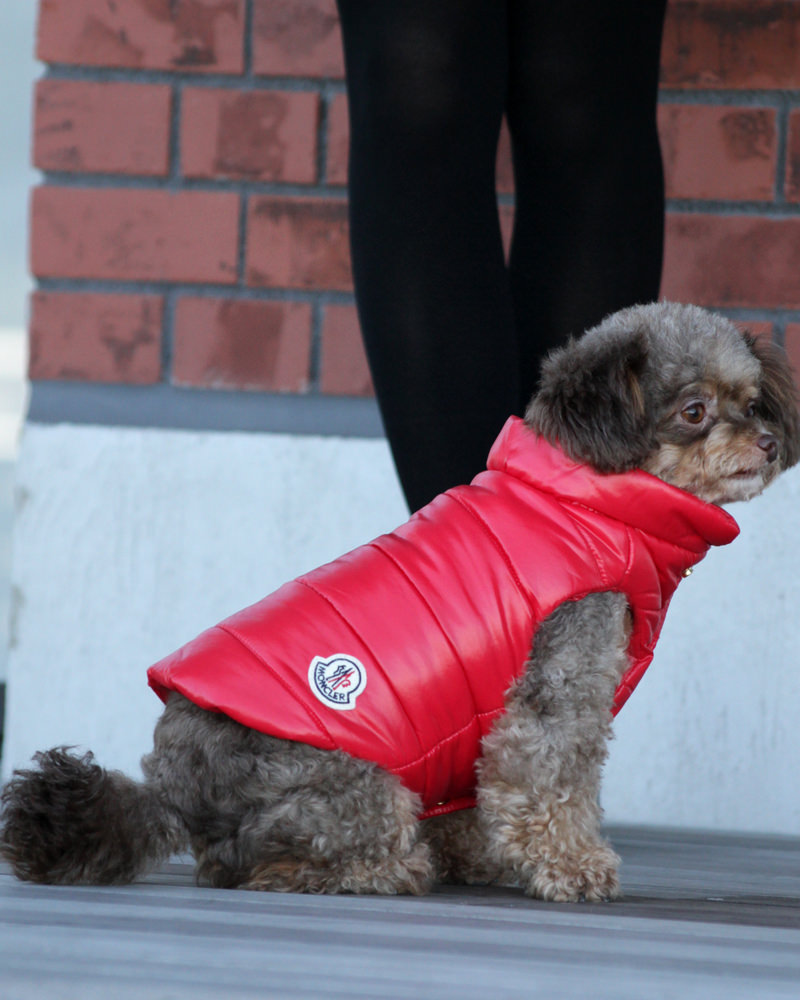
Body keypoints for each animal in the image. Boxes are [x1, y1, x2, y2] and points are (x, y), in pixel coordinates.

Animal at [148, 418, 736, 816]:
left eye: (751, 399)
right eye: (696, 409)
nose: (760, 437)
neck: (582, 504)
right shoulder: (564, 675)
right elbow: (552, 778)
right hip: (353, 788)